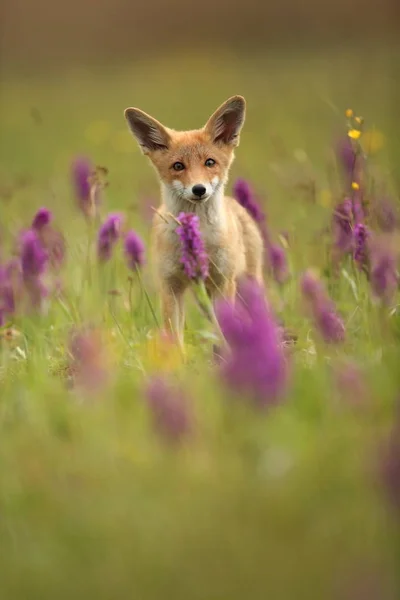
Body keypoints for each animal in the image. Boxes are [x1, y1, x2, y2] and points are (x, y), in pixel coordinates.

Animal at [123, 94, 264, 346]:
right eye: (178, 166)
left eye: (210, 162)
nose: (199, 189)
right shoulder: (171, 285)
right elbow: (175, 337)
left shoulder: (222, 281)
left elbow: (226, 329)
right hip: (202, 296)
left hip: (245, 284)